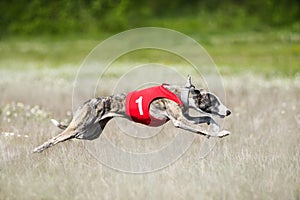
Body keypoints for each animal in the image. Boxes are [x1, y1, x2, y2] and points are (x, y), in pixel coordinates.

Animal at [34, 75, 231, 153]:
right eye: (214, 101)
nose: (228, 111)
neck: (179, 93)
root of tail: (88, 102)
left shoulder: (187, 116)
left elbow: (207, 118)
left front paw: (217, 128)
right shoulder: (179, 121)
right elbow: (201, 129)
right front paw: (219, 133)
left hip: (90, 133)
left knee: (71, 136)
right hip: (80, 127)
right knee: (57, 138)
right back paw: (37, 149)